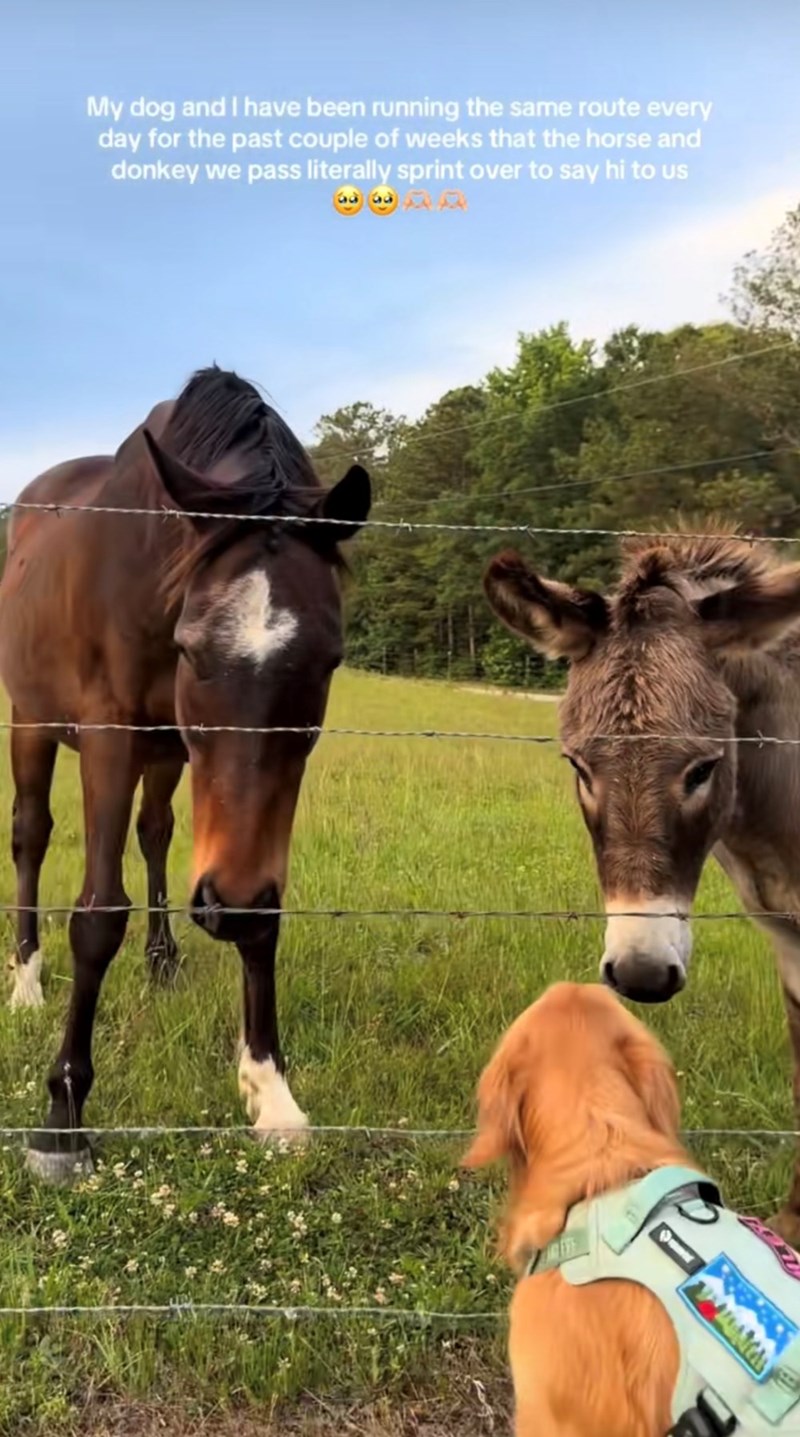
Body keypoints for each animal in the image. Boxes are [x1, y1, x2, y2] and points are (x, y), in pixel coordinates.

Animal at [0, 365, 371, 1182]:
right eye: (195, 650)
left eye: (327, 660)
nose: (225, 908)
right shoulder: (107, 734)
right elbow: (97, 913)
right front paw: (62, 1114)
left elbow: (257, 907)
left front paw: (271, 1093)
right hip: (33, 724)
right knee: (31, 837)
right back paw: (26, 980)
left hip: (165, 753)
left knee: (156, 832)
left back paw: (162, 961)